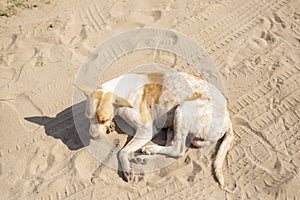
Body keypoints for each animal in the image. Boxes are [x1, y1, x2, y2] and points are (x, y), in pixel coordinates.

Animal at [74, 71, 233, 187]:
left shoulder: (146, 130)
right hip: (172, 127)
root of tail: (228, 120)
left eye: (103, 119)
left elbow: (122, 151)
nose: (93, 137)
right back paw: (144, 157)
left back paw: (148, 151)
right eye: (88, 118)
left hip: (182, 110)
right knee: (174, 150)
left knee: (178, 149)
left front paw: (126, 169)